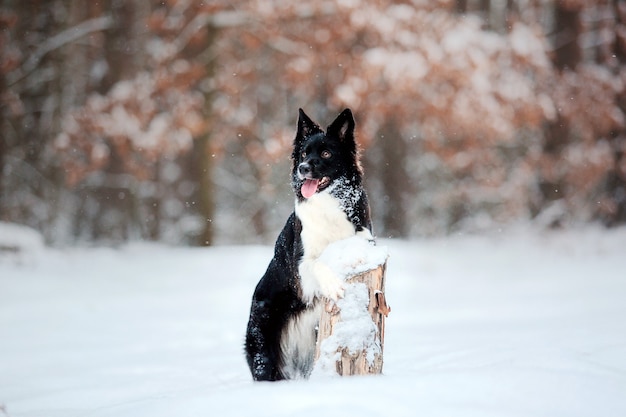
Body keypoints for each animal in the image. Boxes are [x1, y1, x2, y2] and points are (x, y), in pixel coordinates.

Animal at [243, 108, 370, 380]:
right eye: (303, 153)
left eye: (326, 153)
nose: (302, 168)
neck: (328, 202)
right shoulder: (299, 270)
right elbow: (317, 263)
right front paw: (333, 285)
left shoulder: (365, 235)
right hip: (263, 352)